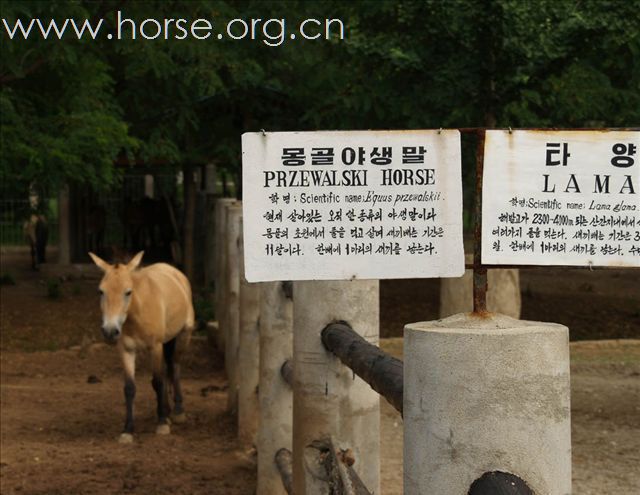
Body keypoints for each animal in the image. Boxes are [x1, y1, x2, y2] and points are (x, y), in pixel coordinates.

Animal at [88, 254, 195, 444]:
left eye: (128, 292)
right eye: (101, 291)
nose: (110, 331)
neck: (137, 311)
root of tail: (175, 272)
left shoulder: (156, 347)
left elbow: (158, 382)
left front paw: (162, 424)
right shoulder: (126, 351)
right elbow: (130, 388)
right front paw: (128, 430)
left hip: (183, 336)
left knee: (175, 367)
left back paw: (177, 411)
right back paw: (167, 411)